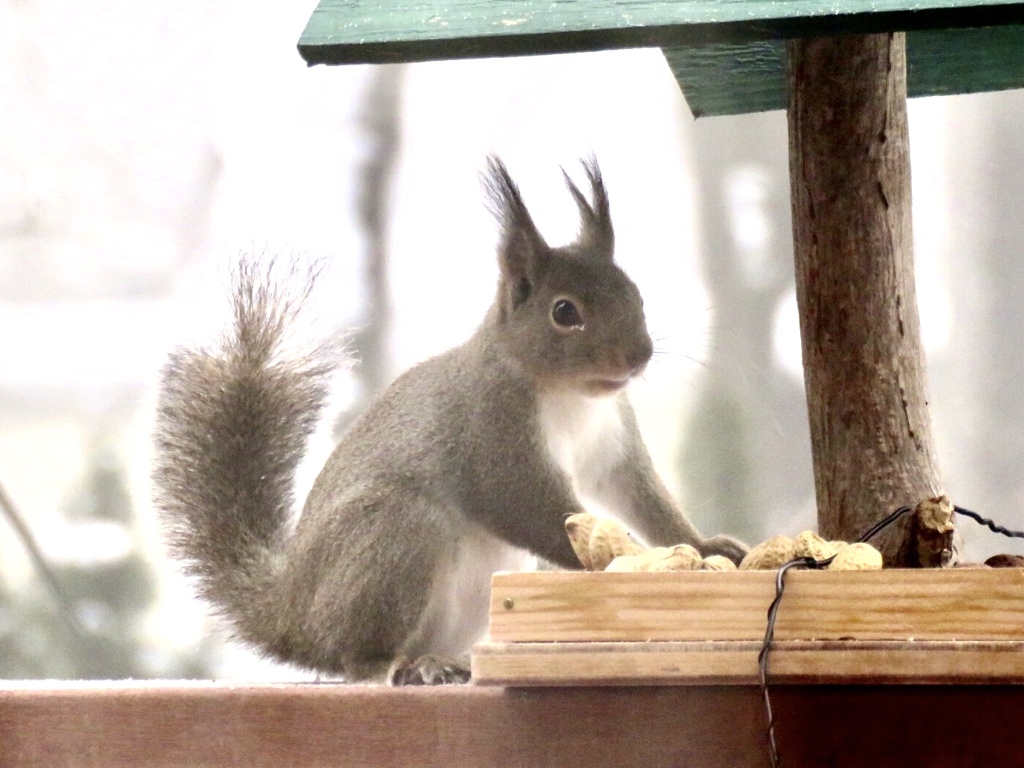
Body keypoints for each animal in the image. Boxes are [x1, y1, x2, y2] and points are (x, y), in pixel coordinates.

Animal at [151, 157, 745, 684]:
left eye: (635, 294)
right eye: (564, 312)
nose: (638, 356)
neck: (570, 397)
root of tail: (293, 616)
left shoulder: (613, 445)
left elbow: (641, 496)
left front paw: (704, 547)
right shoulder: (493, 432)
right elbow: (529, 507)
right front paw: (639, 561)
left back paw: (444, 664)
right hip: (393, 533)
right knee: (360, 661)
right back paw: (398, 667)